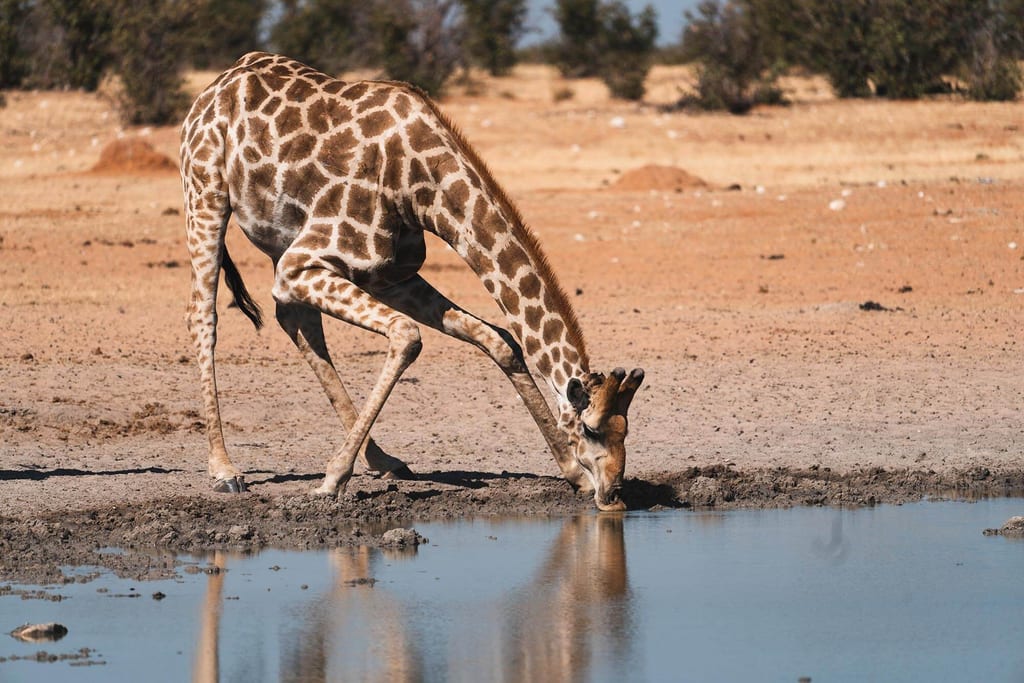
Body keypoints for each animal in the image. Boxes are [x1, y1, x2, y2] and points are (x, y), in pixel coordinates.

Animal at [180, 52, 644, 511]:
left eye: (627, 429)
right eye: (592, 430)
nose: (614, 495)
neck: (419, 185)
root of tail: (217, 84)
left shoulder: (388, 275)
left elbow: (500, 340)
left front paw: (571, 473)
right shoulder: (303, 264)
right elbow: (407, 336)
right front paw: (332, 479)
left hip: (283, 243)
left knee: (296, 322)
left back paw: (384, 460)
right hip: (205, 195)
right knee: (204, 319)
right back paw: (225, 471)